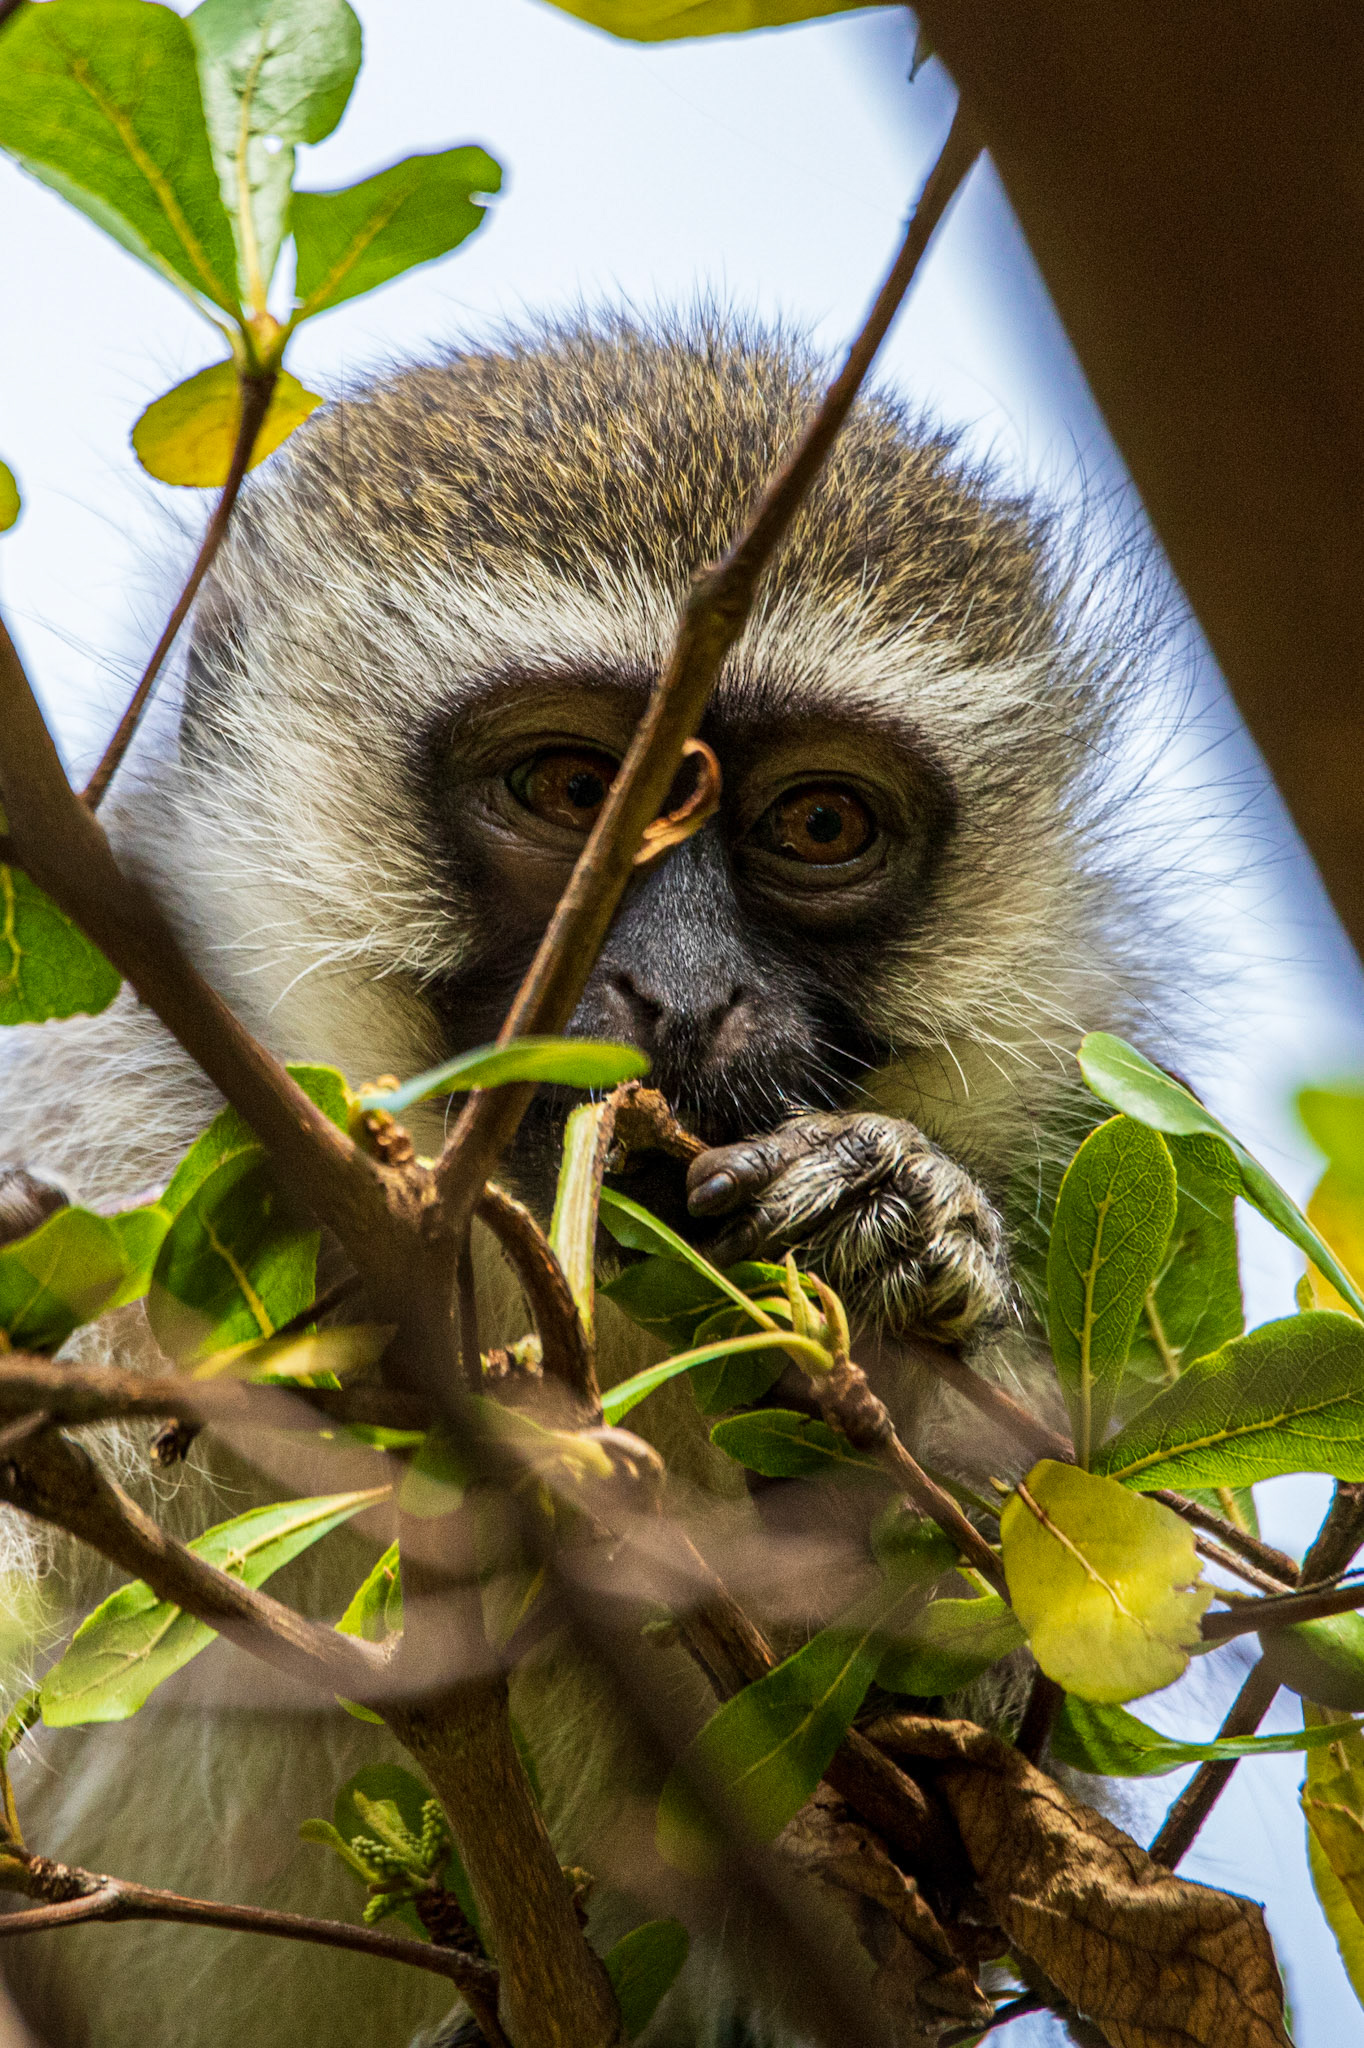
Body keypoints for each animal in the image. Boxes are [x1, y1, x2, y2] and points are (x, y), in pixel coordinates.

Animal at [0, 313, 1169, 2048]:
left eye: (821, 818)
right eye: (570, 790)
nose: (683, 994)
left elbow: (934, 1851)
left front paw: (890, 1255)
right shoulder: (105, 1164)